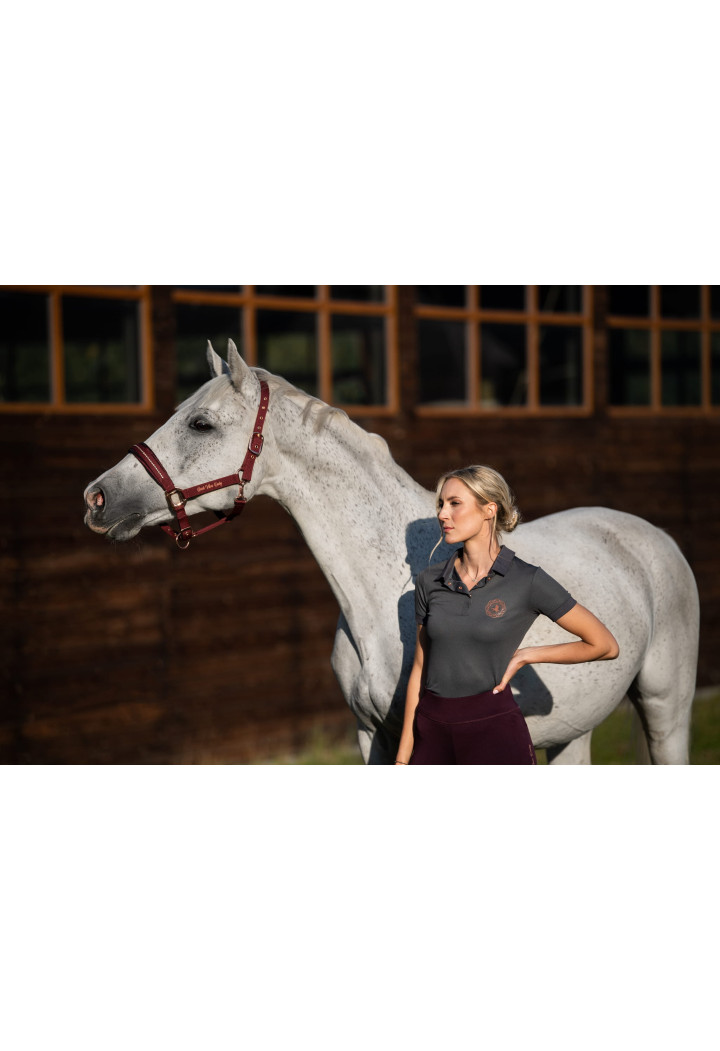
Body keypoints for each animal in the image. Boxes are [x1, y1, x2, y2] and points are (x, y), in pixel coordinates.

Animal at [84, 340, 700, 764]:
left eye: (200, 423)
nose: (97, 497)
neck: (380, 597)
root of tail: (651, 537)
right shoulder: (373, 738)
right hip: (573, 732)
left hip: (666, 708)